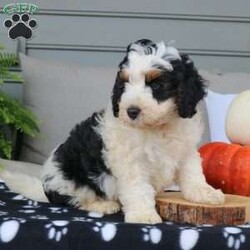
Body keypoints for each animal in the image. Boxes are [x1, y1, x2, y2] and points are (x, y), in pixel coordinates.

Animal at [41, 39, 225, 225]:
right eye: (124, 84)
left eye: (156, 84)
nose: (131, 111)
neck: (158, 127)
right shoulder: (131, 162)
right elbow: (138, 188)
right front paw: (143, 215)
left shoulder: (186, 151)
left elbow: (192, 173)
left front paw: (205, 193)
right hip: (68, 178)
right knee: (75, 199)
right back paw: (103, 205)